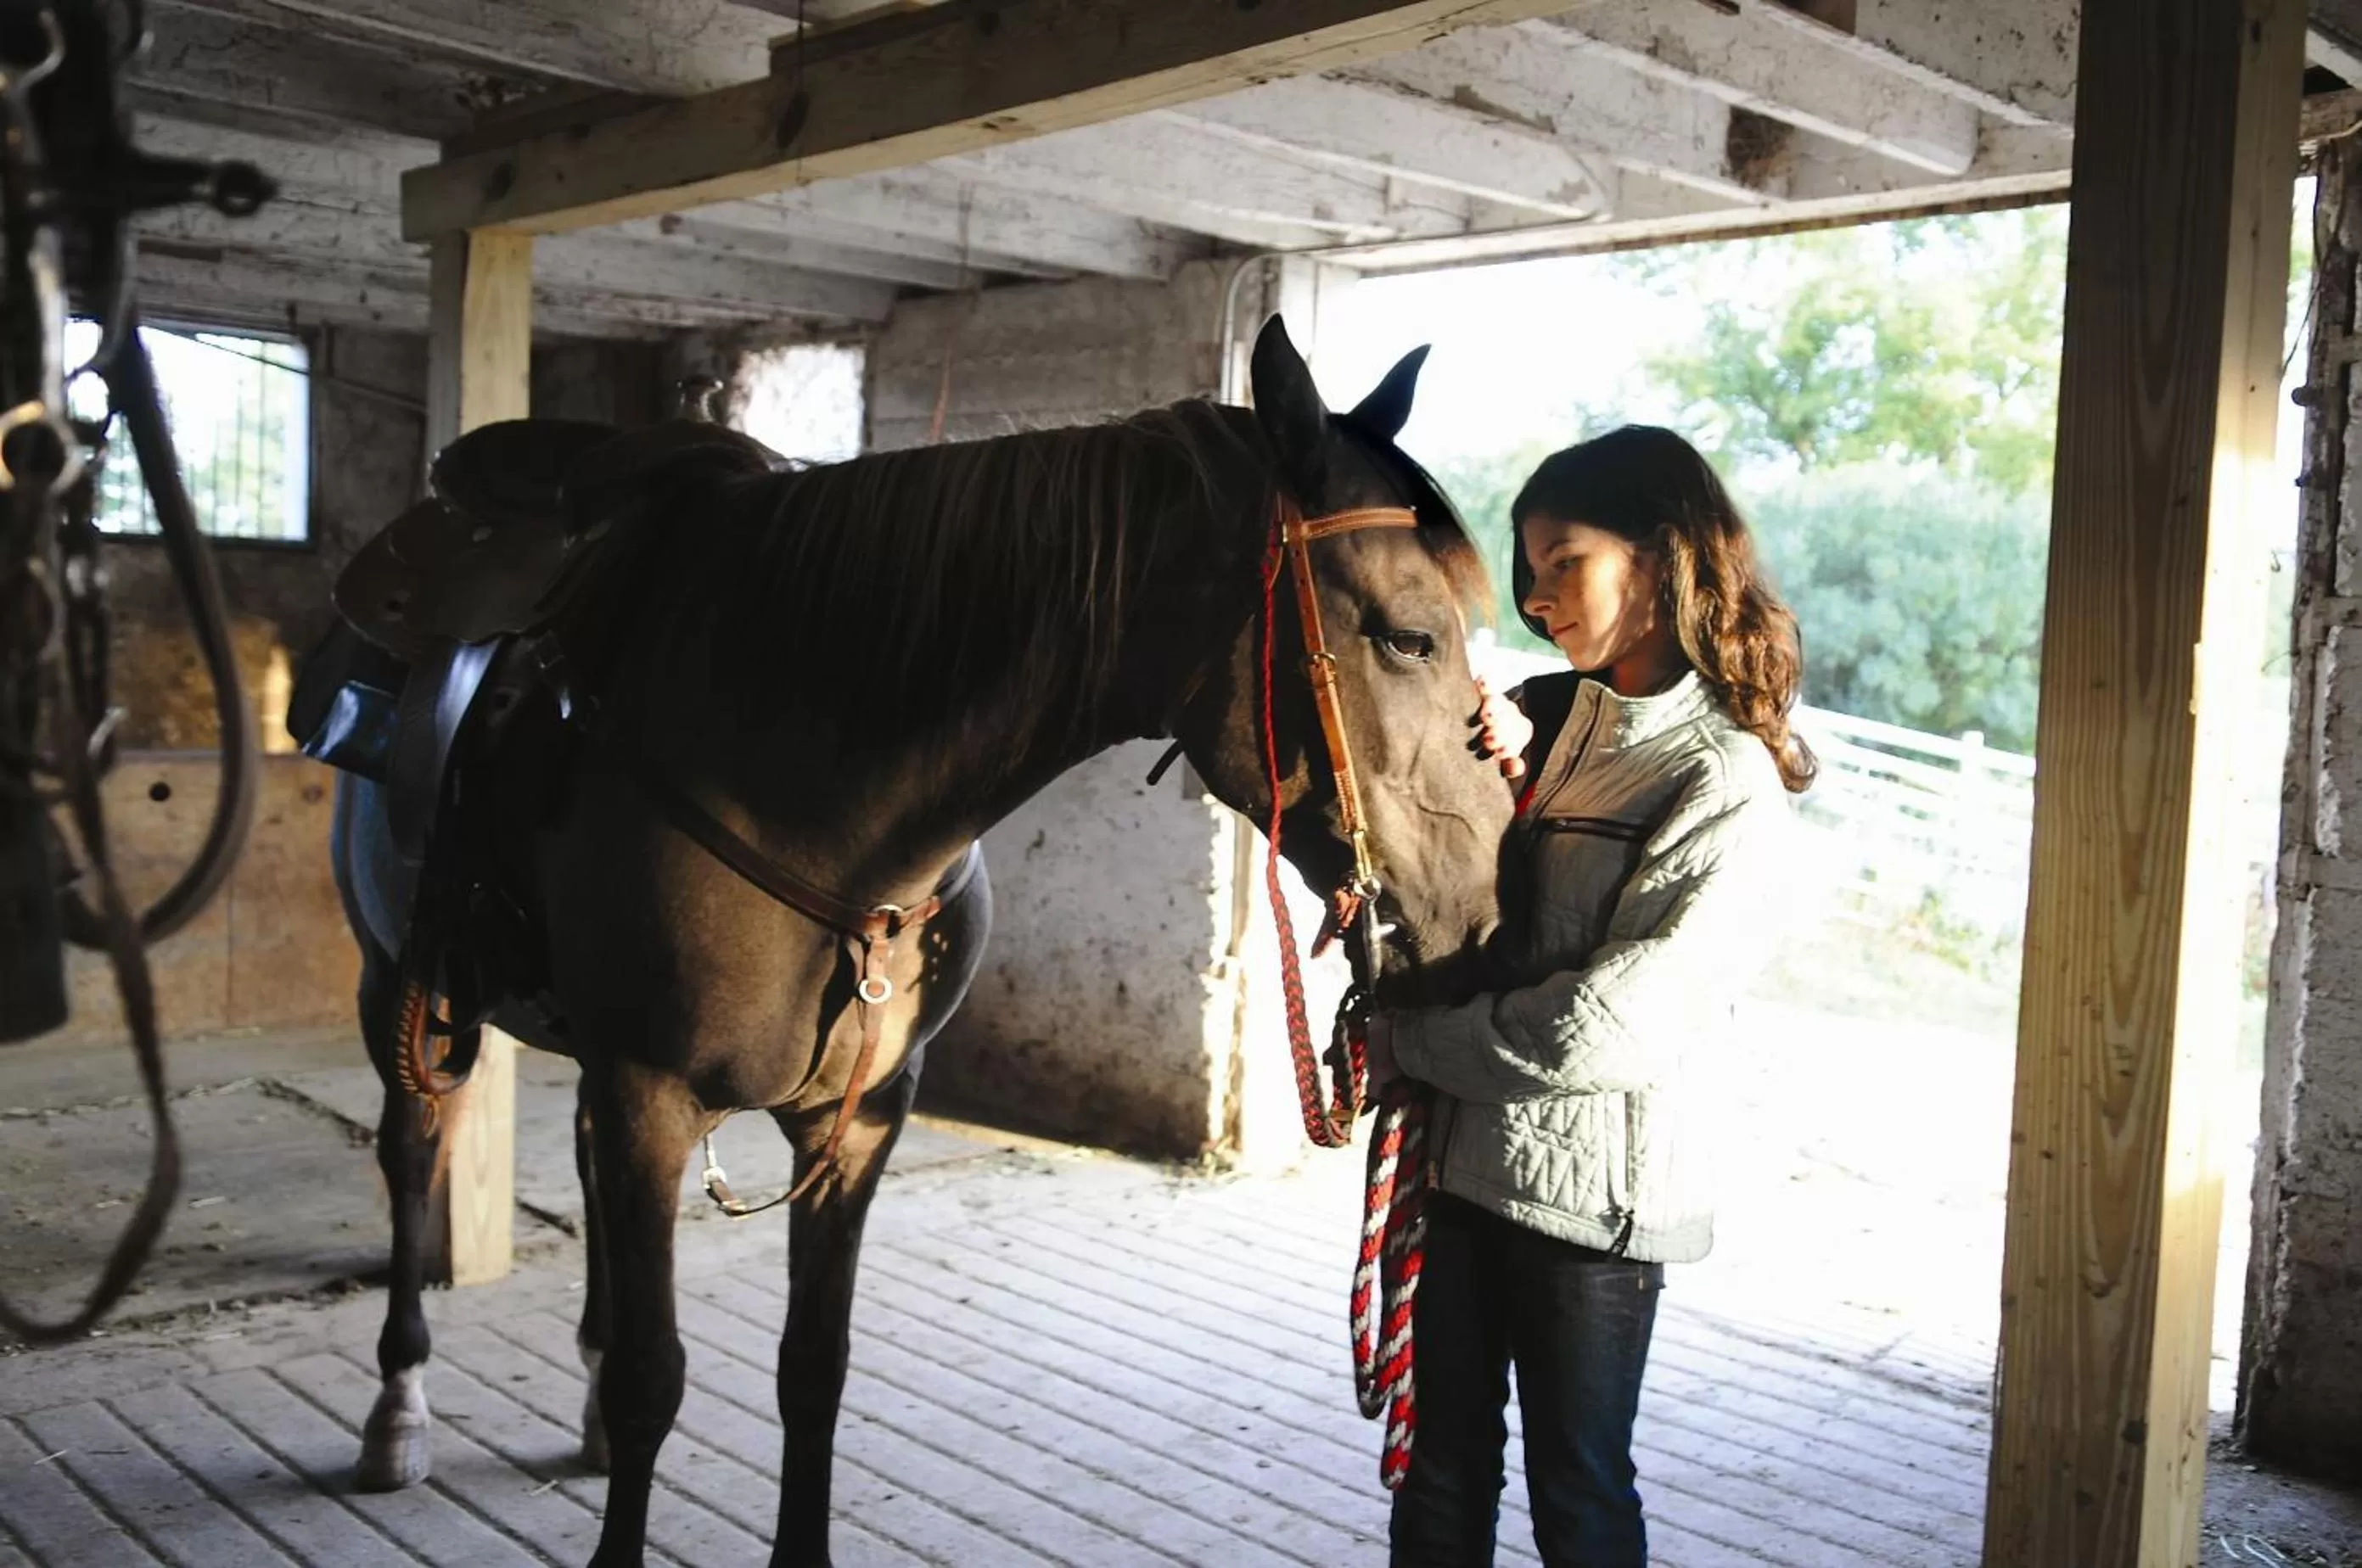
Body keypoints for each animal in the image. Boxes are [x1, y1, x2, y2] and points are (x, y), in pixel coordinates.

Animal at [325, 315, 1516, 1567]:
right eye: (1405, 636)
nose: (1486, 907)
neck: (796, 778)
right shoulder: (650, 1089)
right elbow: (659, 1377)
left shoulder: (855, 1121)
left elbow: (813, 1370)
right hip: (398, 984)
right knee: (411, 1156)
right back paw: (396, 1409)